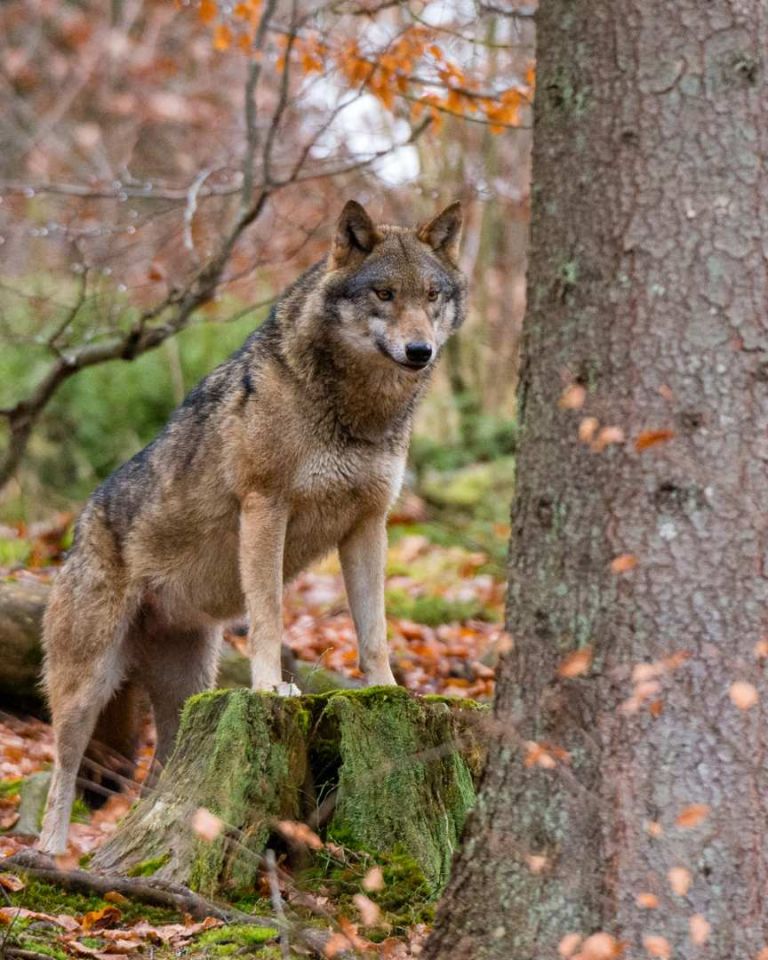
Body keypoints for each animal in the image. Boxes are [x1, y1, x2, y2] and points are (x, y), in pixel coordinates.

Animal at [39, 199, 468, 852]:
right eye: (385, 294)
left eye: (432, 295)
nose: (419, 350)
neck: (357, 411)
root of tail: (76, 529)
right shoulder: (266, 507)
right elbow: (269, 614)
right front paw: (271, 687)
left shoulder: (369, 523)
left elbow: (374, 630)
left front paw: (390, 689)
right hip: (88, 687)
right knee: (61, 771)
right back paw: (52, 856)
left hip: (189, 690)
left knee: (159, 776)